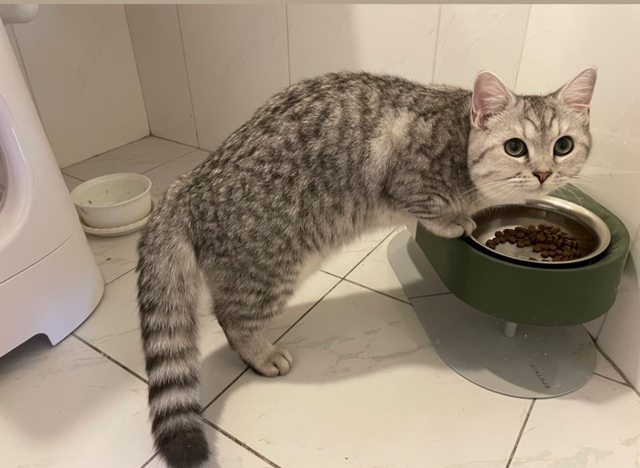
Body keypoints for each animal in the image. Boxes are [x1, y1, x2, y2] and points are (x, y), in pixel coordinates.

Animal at [136, 68, 597, 468]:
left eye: (564, 146)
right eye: (515, 147)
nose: (543, 173)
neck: (460, 141)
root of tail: (187, 184)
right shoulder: (409, 183)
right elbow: (431, 209)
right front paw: (454, 221)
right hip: (272, 268)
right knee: (233, 318)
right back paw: (261, 355)